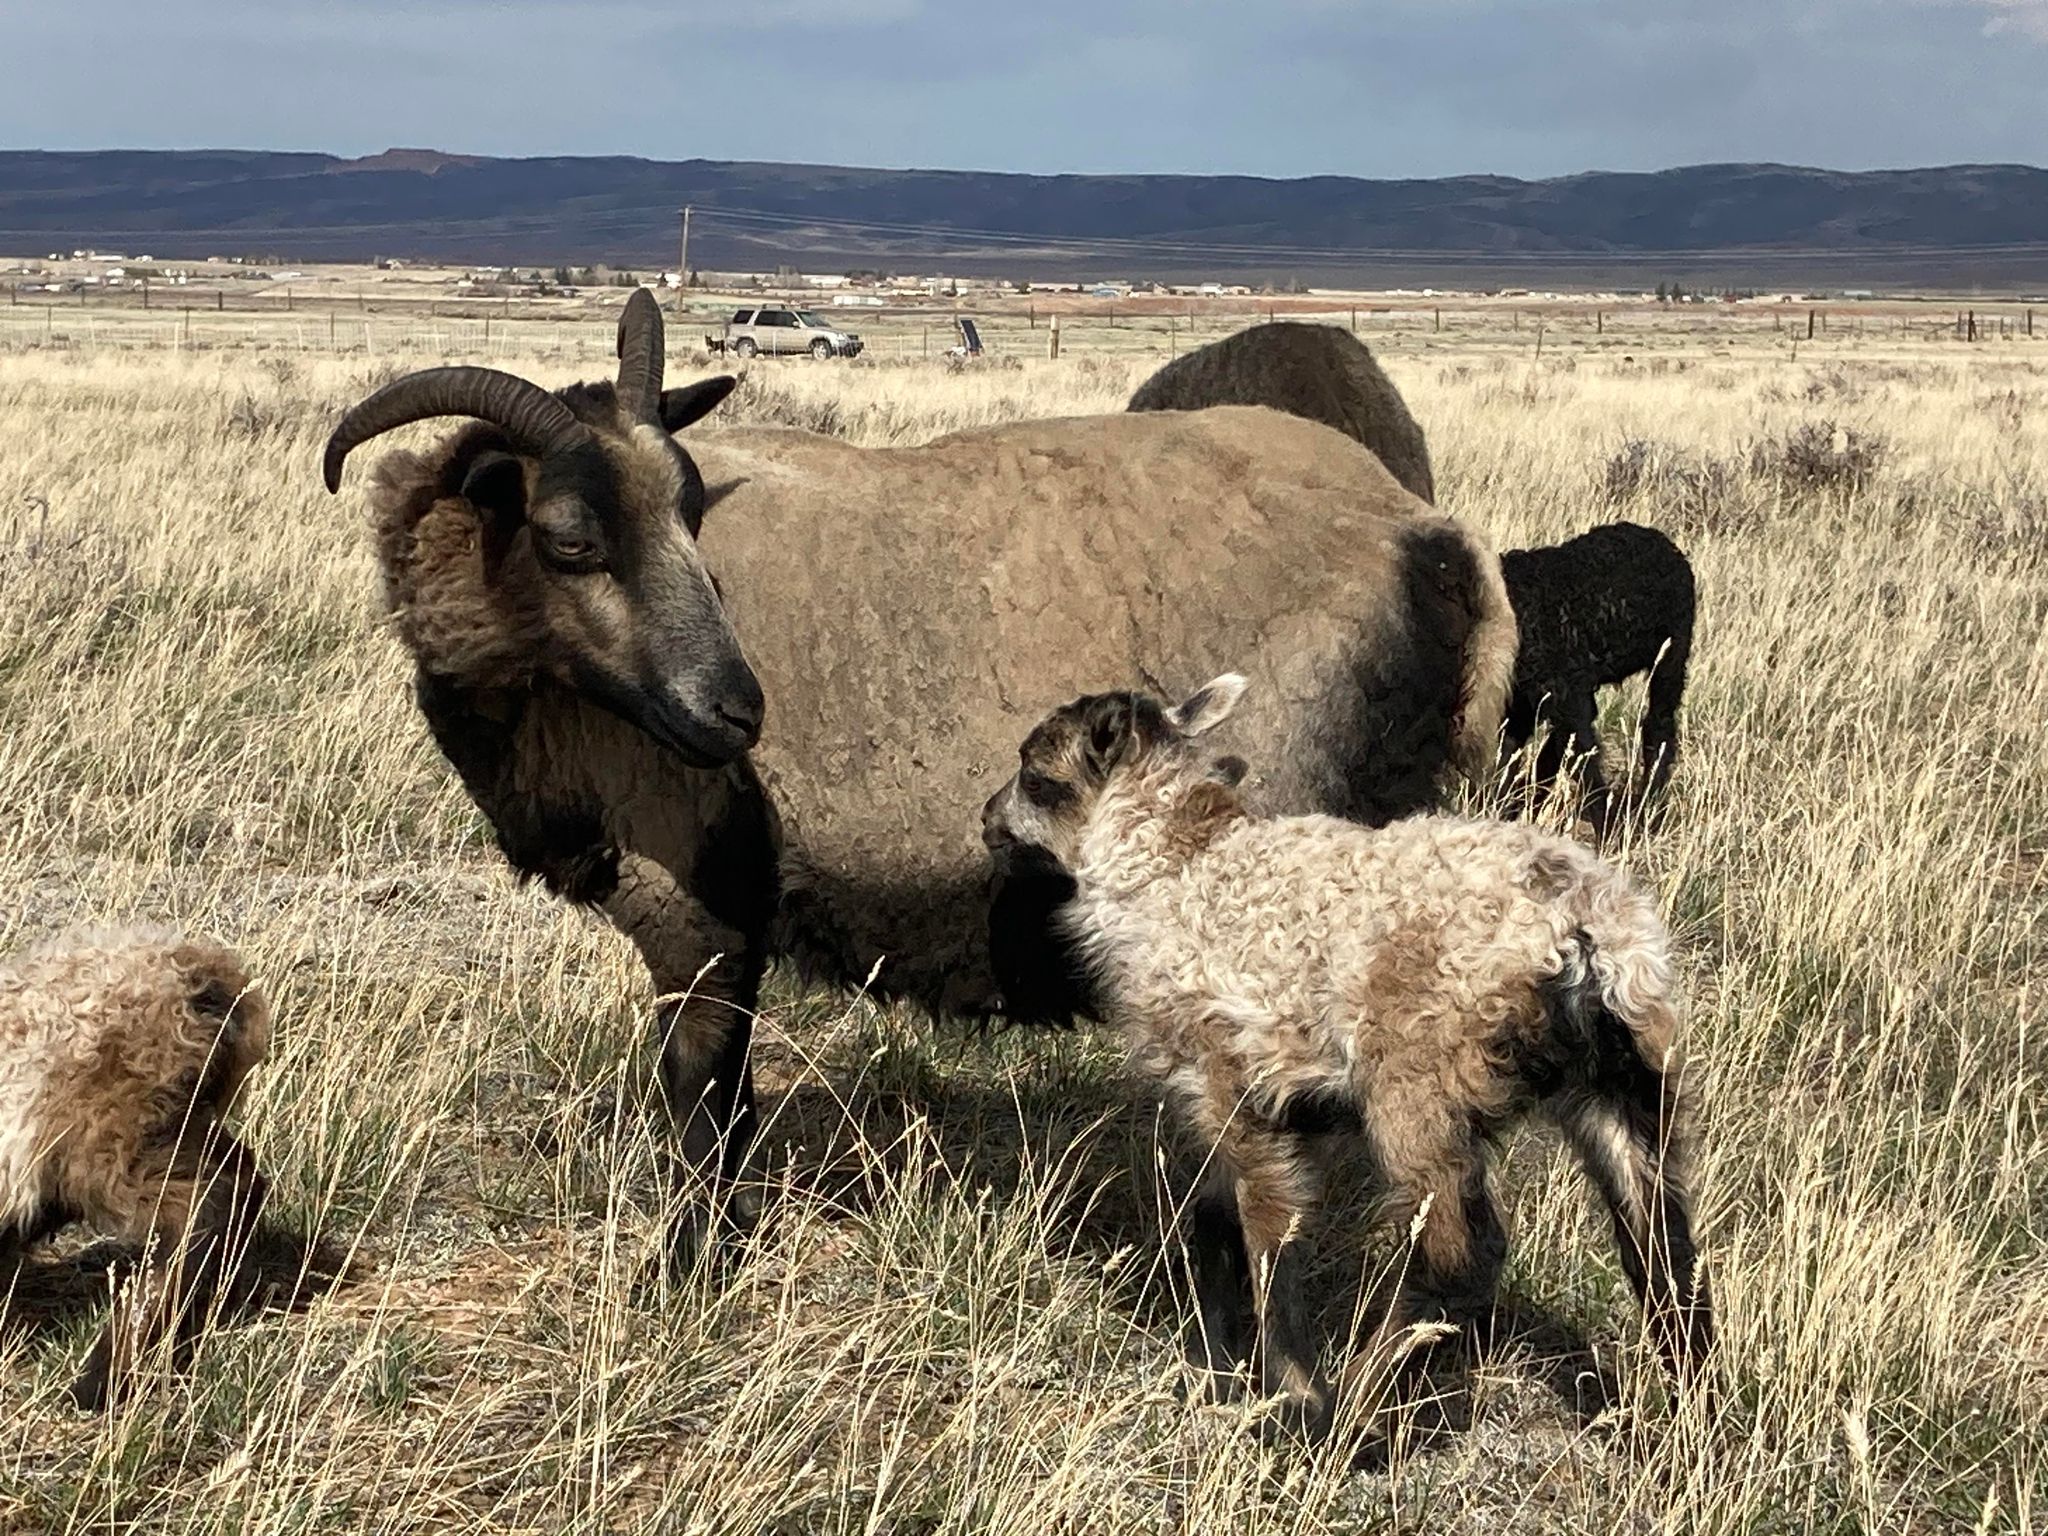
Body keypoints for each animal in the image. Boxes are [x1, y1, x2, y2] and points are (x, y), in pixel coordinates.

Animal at [311, 290, 1515, 1261]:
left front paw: (689, 1268)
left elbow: (700, 1096)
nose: (738, 711)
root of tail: (1438, 543)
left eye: (690, 510)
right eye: (568, 540)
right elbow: (730, 1096)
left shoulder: (690, 887)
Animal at [983, 679, 1720, 1441]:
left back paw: (1353, 1414)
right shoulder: (1240, 1106)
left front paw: (1291, 1393)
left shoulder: (1234, 1084)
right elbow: (1211, 1221)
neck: (1176, 873)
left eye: (1036, 774)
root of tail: (1584, 933)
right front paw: (1218, 1369)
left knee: (1463, 1253)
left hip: (1419, 1081)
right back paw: (1699, 1423)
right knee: (1662, 1240)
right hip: (1625, 1077)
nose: (987, 821)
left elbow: (1269, 1234)